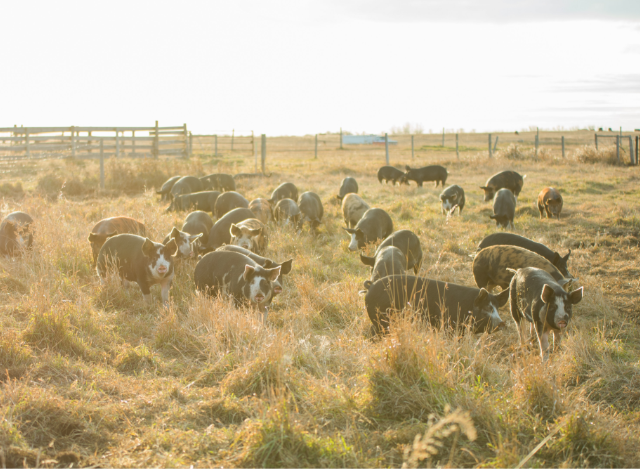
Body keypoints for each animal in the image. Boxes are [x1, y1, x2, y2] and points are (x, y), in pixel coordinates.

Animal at [364, 274, 510, 336]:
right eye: (486, 308)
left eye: (497, 308)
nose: (502, 323)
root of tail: (371, 286)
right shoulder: (448, 327)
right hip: (382, 318)